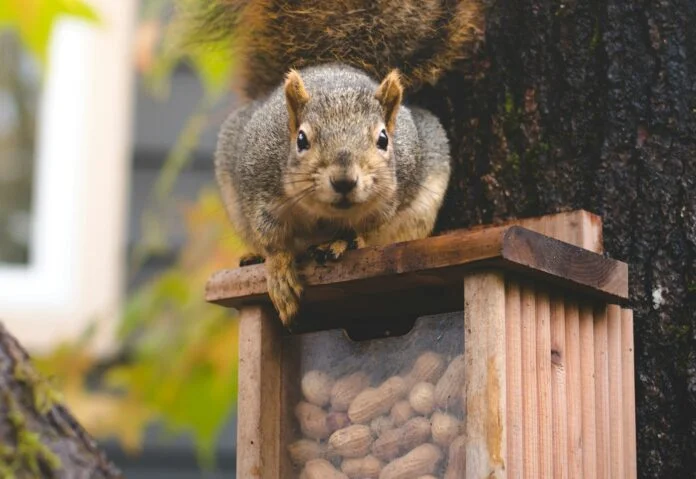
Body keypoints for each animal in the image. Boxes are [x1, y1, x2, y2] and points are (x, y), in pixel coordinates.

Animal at [203, 0, 486, 325]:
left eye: (383, 139)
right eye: (301, 139)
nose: (344, 181)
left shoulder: (386, 202)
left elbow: (365, 230)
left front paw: (341, 242)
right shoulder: (259, 190)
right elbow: (273, 240)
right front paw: (279, 271)